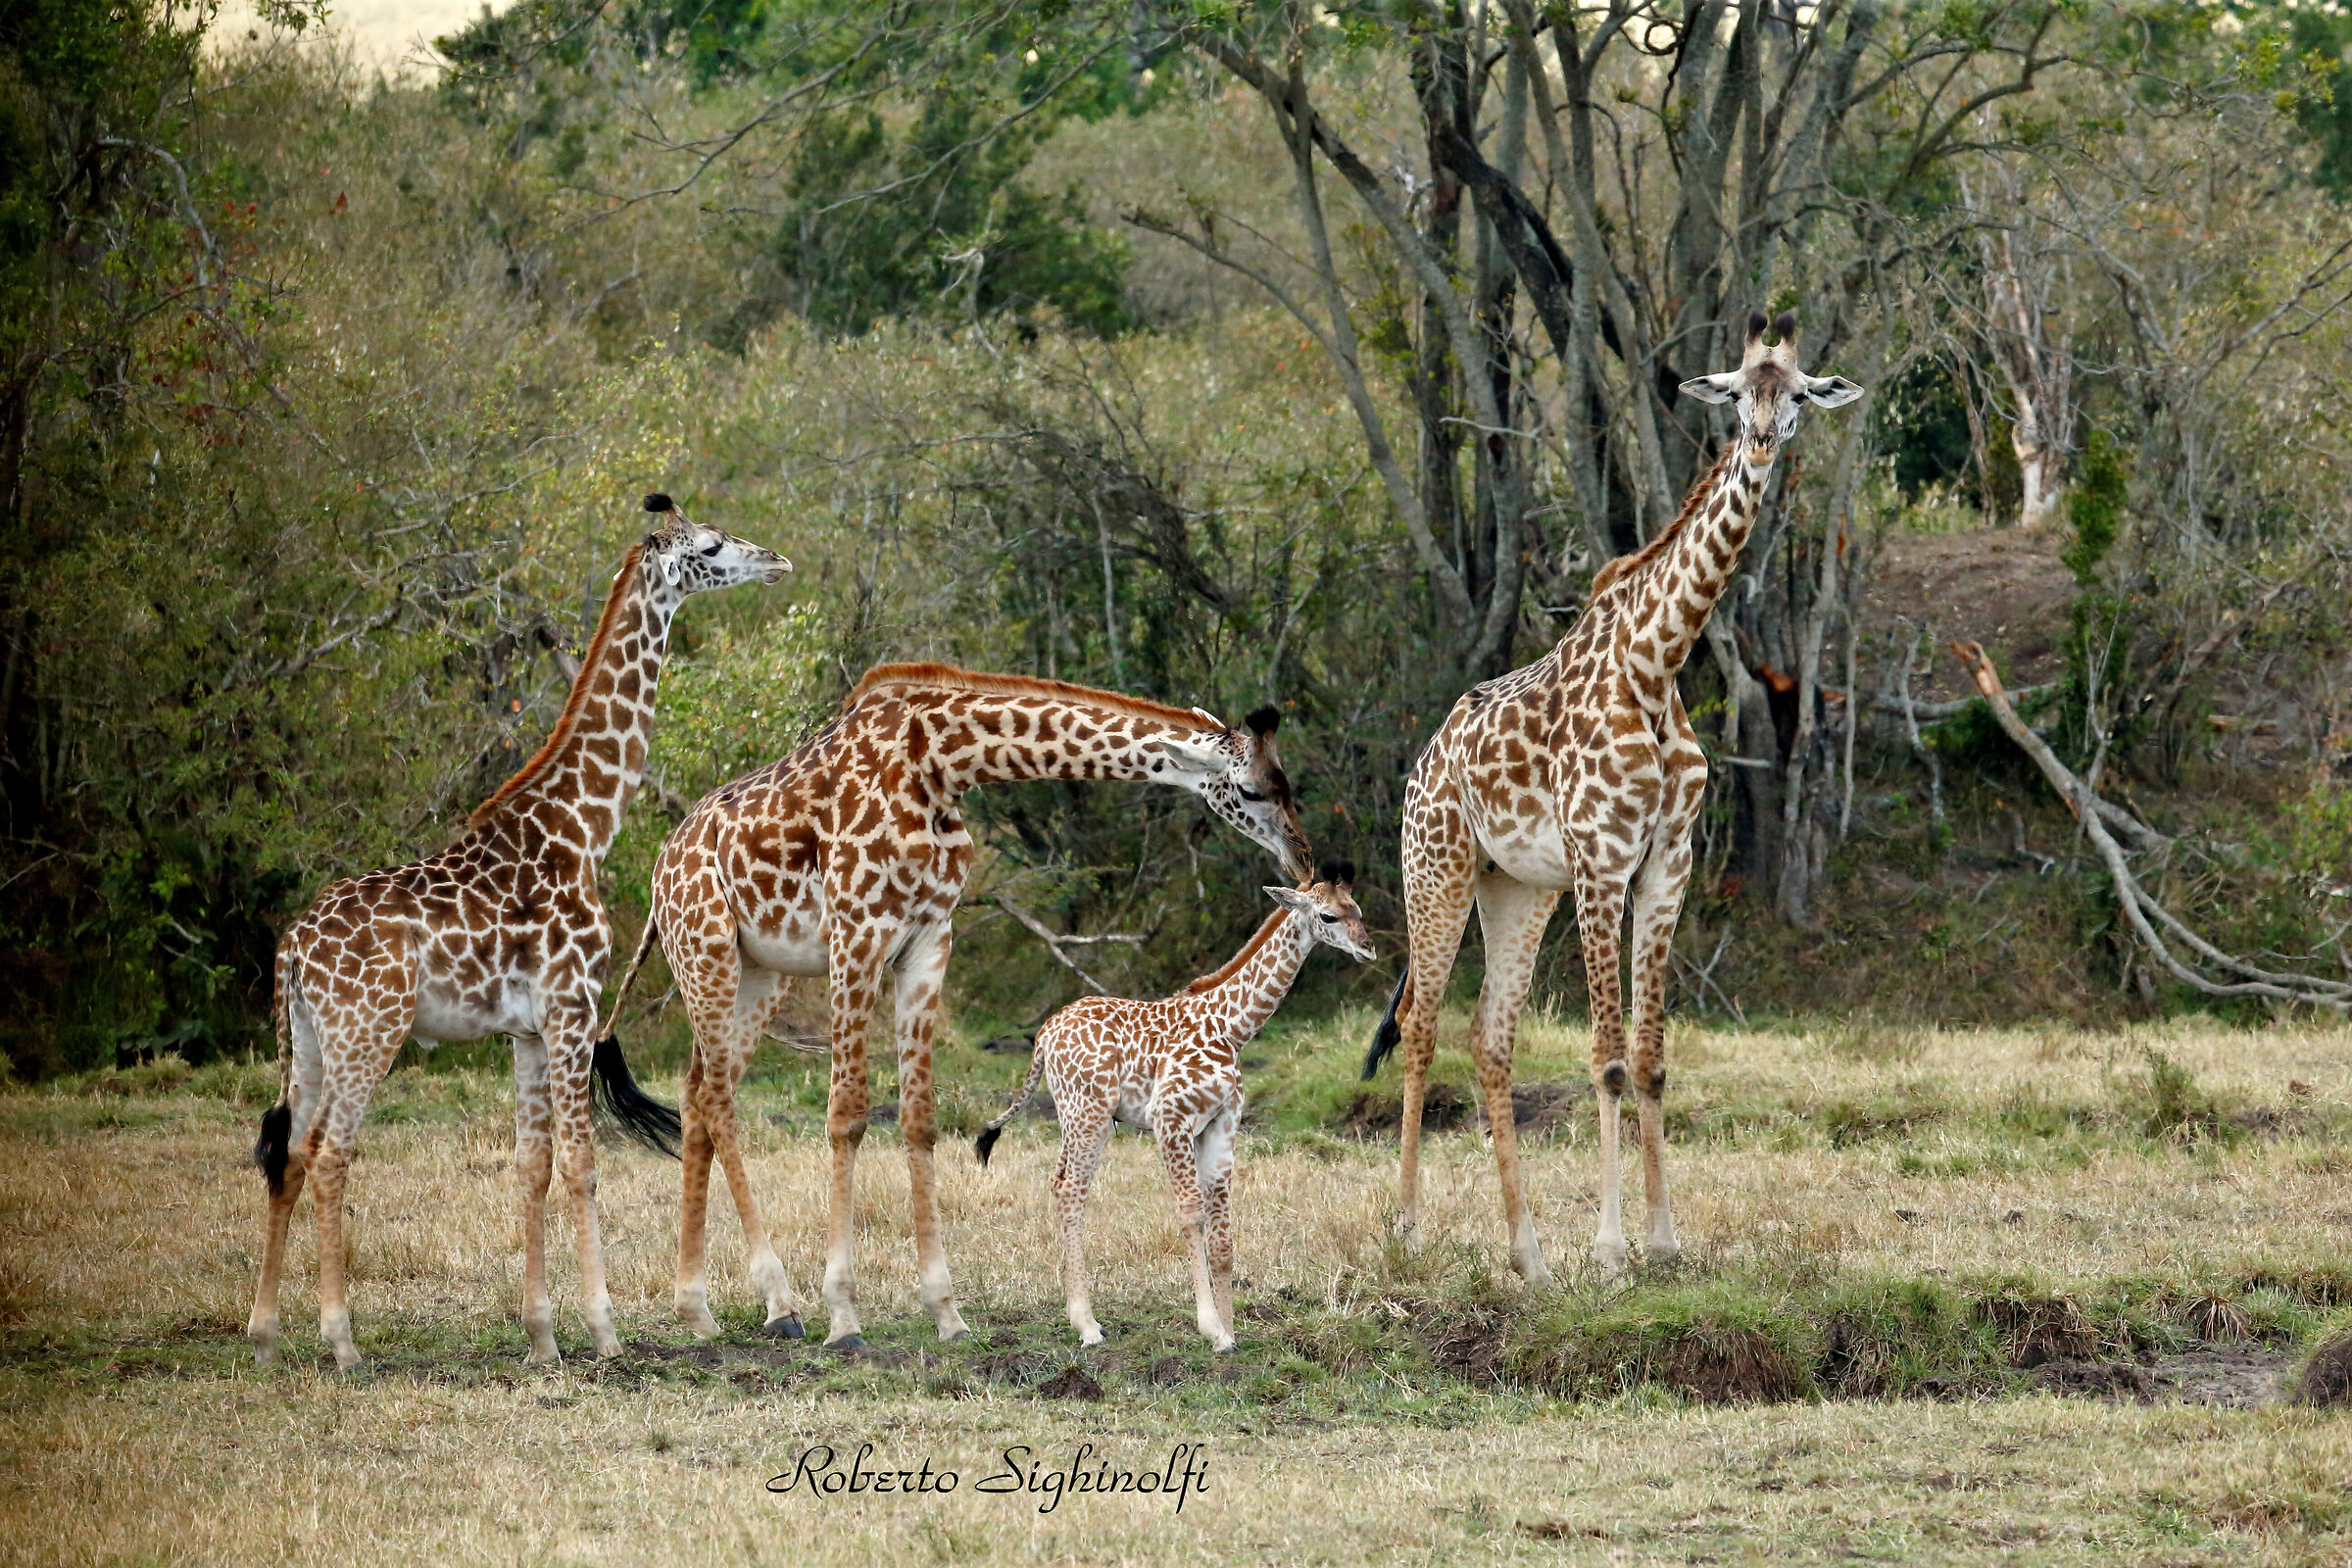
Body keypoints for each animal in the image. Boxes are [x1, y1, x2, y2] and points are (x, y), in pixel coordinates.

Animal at [245, 495, 789, 1370]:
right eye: (711, 547)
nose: (775, 561)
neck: (582, 826)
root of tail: (293, 951)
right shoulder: (572, 1007)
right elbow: (583, 1163)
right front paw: (603, 1329)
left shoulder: (528, 1030)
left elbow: (531, 1167)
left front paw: (542, 1336)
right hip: (369, 1031)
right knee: (330, 1156)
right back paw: (342, 1341)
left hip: (309, 1039)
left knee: (289, 1155)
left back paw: (263, 1335)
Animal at [610, 664, 1314, 1349]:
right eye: (1253, 790)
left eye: (1286, 782)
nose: (1302, 858)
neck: (939, 761)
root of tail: (659, 869)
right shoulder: (858, 934)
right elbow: (847, 1115)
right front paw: (844, 1316)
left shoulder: (928, 941)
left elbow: (919, 1119)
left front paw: (946, 1312)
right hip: (707, 952)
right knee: (718, 1100)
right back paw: (780, 1304)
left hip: (760, 972)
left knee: (698, 1092)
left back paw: (698, 1308)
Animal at [974, 862, 1372, 1351]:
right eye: (1328, 916)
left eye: (1357, 909)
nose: (1368, 947)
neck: (1232, 1027)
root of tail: (1044, 1035)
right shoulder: (1171, 1119)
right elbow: (1191, 1214)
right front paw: (1211, 1327)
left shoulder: (1221, 1125)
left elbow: (1223, 1232)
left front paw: (1229, 1332)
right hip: (1088, 1115)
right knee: (1071, 1190)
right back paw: (1087, 1326)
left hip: (1079, 1117)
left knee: (1058, 1183)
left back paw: (1080, 1317)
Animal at [1362, 311, 1863, 1283]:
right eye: (1738, 391)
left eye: (1798, 394)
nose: (1760, 442)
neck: (1657, 663)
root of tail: (1426, 760)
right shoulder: (1601, 862)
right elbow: (1606, 1060)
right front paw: (1611, 1250)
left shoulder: (1666, 864)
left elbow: (1653, 1056)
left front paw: (1663, 1240)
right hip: (1435, 869)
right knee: (1419, 1024)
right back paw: (1405, 1230)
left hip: (1516, 889)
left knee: (1490, 1040)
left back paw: (1526, 1254)